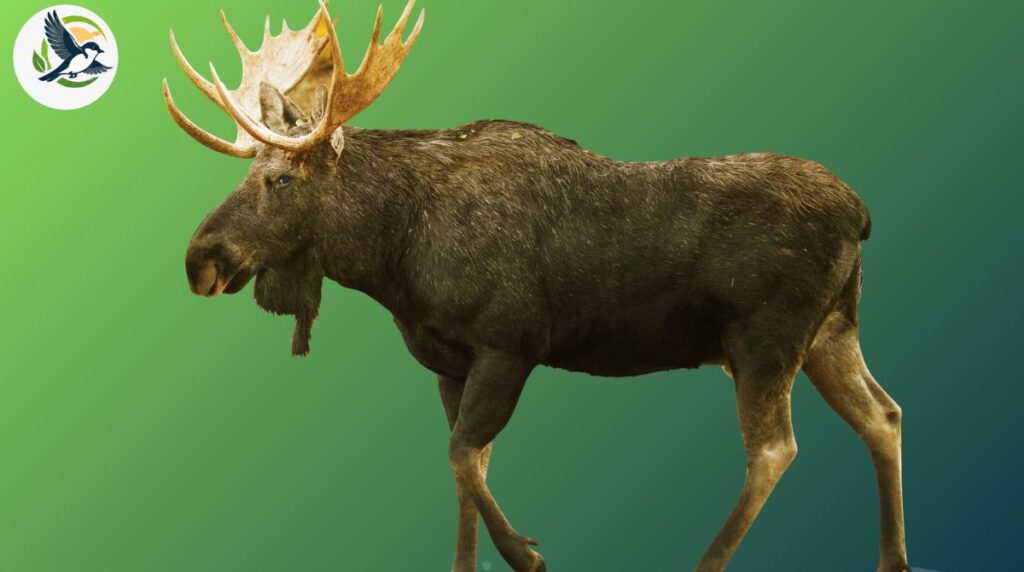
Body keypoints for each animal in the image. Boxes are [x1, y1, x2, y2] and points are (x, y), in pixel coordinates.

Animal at [164, 2, 909, 570]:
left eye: (280, 178)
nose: (200, 260)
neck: (394, 254)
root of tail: (862, 212)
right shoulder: (447, 362)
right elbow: (468, 468)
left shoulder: (509, 343)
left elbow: (463, 456)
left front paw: (526, 553)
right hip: (830, 332)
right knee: (884, 414)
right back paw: (892, 558)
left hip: (764, 340)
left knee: (775, 448)